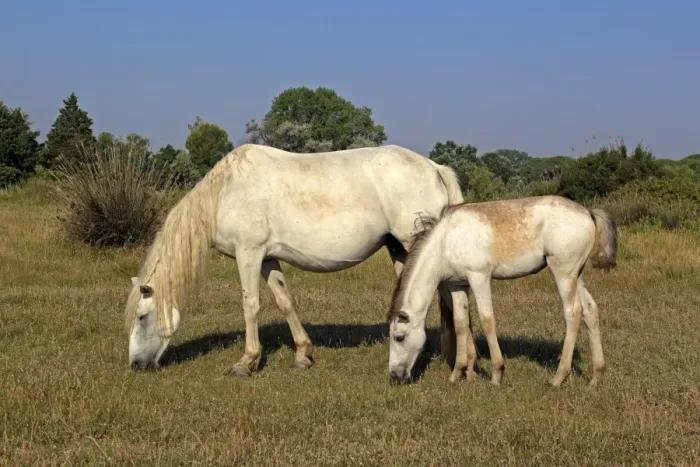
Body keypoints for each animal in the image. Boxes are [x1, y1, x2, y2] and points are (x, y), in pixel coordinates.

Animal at [125, 143, 470, 377]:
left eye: (141, 317)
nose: (136, 364)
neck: (225, 193)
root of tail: (435, 167)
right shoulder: (267, 260)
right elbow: (284, 301)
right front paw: (303, 355)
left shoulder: (248, 254)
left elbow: (250, 305)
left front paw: (246, 362)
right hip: (401, 250)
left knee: (456, 298)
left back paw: (463, 365)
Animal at [386, 195, 617, 387]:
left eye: (399, 337)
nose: (394, 376)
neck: (446, 241)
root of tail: (587, 212)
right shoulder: (457, 285)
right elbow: (461, 324)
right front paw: (457, 373)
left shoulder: (479, 278)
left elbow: (487, 320)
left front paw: (497, 373)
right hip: (577, 276)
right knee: (590, 311)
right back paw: (596, 376)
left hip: (563, 273)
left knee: (573, 313)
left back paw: (558, 377)